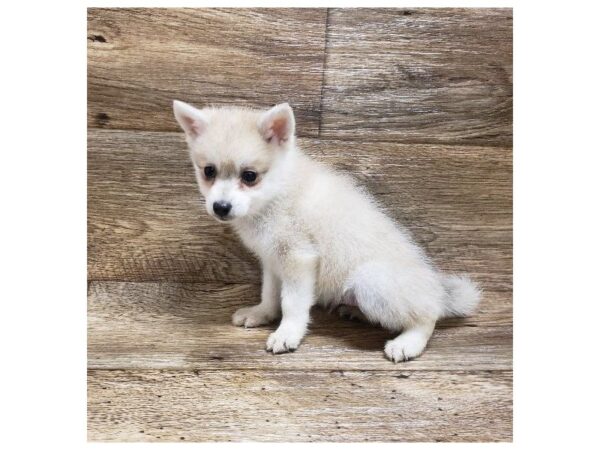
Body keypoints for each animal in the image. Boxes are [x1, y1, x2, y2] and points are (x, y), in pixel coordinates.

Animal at [171, 100, 480, 360]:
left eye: (249, 176)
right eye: (208, 171)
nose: (220, 207)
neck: (276, 195)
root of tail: (438, 291)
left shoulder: (299, 259)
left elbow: (292, 304)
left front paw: (287, 333)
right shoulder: (272, 261)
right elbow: (269, 294)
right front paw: (262, 314)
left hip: (372, 280)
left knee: (427, 316)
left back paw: (408, 342)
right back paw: (355, 312)